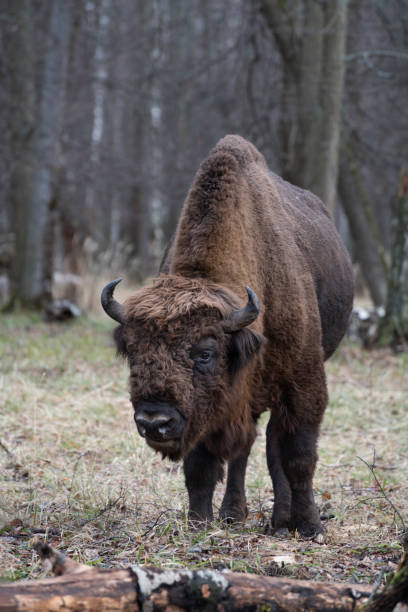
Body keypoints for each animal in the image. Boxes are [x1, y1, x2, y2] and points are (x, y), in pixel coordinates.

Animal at [102, 134, 354, 536]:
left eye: (205, 353)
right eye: (133, 350)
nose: (155, 421)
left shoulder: (302, 384)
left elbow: (298, 456)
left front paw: (310, 525)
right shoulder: (211, 407)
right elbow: (201, 464)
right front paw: (198, 521)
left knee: (271, 446)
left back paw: (280, 520)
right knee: (246, 449)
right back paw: (235, 513)